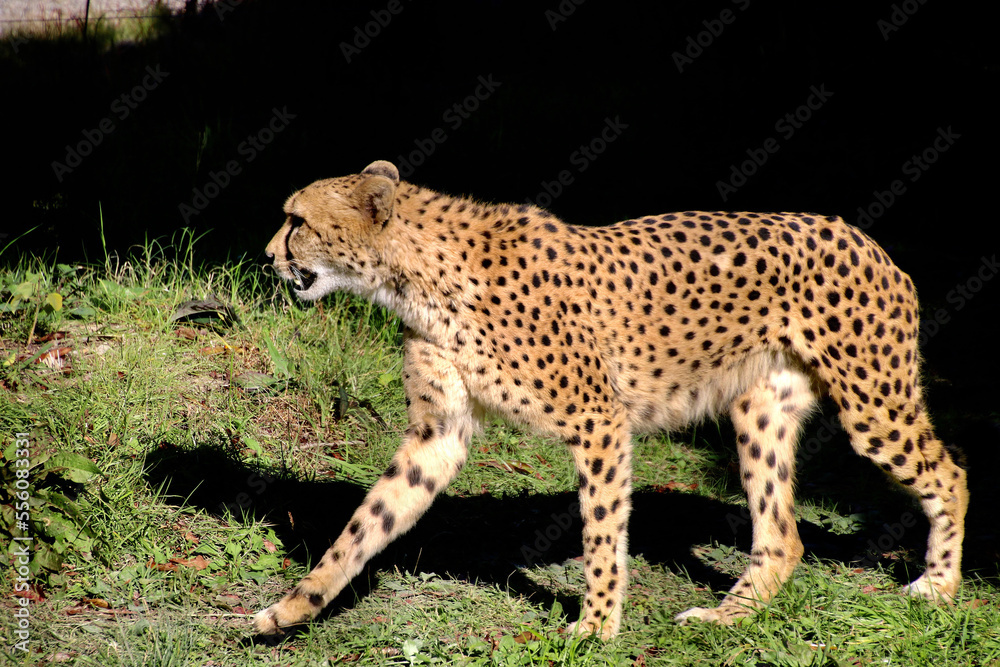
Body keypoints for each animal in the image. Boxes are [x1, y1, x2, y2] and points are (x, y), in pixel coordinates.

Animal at [255, 159, 968, 639]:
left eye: (297, 222)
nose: (265, 257)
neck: (413, 275)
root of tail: (860, 235)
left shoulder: (598, 419)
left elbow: (601, 529)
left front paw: (596, 627)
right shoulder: (439, 433)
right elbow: (365, 525)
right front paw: (292, 608)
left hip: (873, 404)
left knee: (951, 475)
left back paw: (938, 587)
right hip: (759, 410)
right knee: (783, 535)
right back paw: (724, 617)